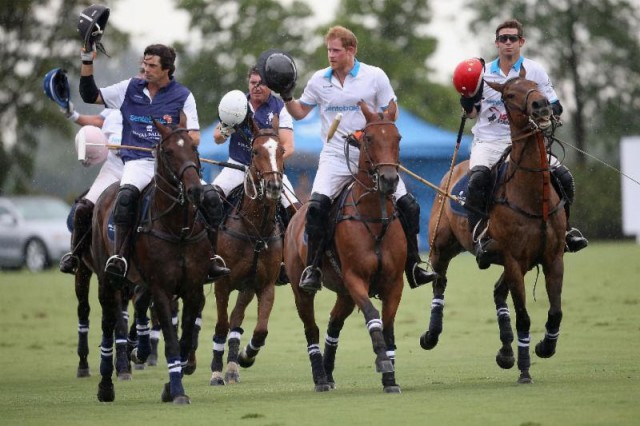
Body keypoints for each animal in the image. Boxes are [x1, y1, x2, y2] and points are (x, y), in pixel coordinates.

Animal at [91, 120, 206, 402]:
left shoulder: (193, 288)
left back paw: (140, 349)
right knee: (108, 325)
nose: (195, 190)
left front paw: (170, 386)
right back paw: (106, 386)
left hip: (140, 280)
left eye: (194, 147)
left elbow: (184, 339)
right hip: (108, 280)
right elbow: (172, 342)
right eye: (168, 152)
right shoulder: (162, 288)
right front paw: (178, 392)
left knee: (141, 304)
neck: (178, 229)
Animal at [209, 116, 284, 386]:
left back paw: (233, 367)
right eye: (255, 151)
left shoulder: (263, 284)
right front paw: (216, 372)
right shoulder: (222, 283)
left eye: (282, 150)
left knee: (237, 321)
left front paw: (244, 357)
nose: (274, 185)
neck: (255, 229)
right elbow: (220, 326)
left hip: (246, 288)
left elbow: (259, 330)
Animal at [284, 100, 404, 392]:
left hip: (344, 293)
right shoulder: (355, 277)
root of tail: (297, 212)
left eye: (397, 138)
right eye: (368, 138)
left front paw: (391, 379)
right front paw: (383, 362)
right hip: (302, 288)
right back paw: (320, 378)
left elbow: (388, 325)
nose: (389, 180)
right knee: (312, 328)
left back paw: (328, 372)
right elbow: (373, 315)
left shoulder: (395, 282)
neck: (374, 218)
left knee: (333, 323)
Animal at [422, 70, 568, 382]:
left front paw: (544, 347)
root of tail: (455, 168)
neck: (532, 196)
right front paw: (525, 371)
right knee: (439, 283)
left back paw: (506, 351)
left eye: (536, 85)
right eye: (509, 95)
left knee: (498, 292)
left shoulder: (553, 257)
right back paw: (431, 335)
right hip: (442, 247)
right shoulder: (514, 259)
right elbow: (524, 316)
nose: (540, 106)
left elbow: (555, 311)